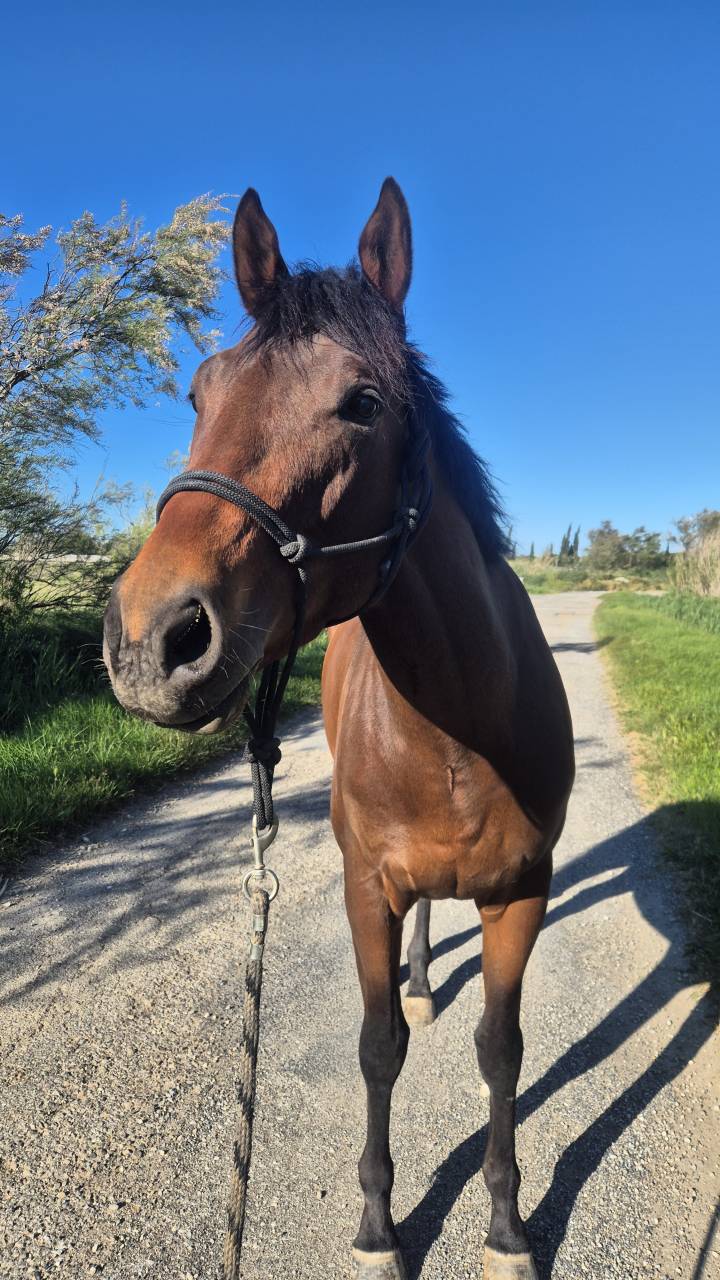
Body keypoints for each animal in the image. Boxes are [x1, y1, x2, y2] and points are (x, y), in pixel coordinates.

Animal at [103, 178, 575, 1280]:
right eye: (199, 393)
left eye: (362, 402)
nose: (150, 639)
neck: (462, 727)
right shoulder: (368, 885)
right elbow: (375, 1046)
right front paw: (376, 1227)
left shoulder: (523, 891)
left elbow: (503, 1050)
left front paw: (505, 1226)